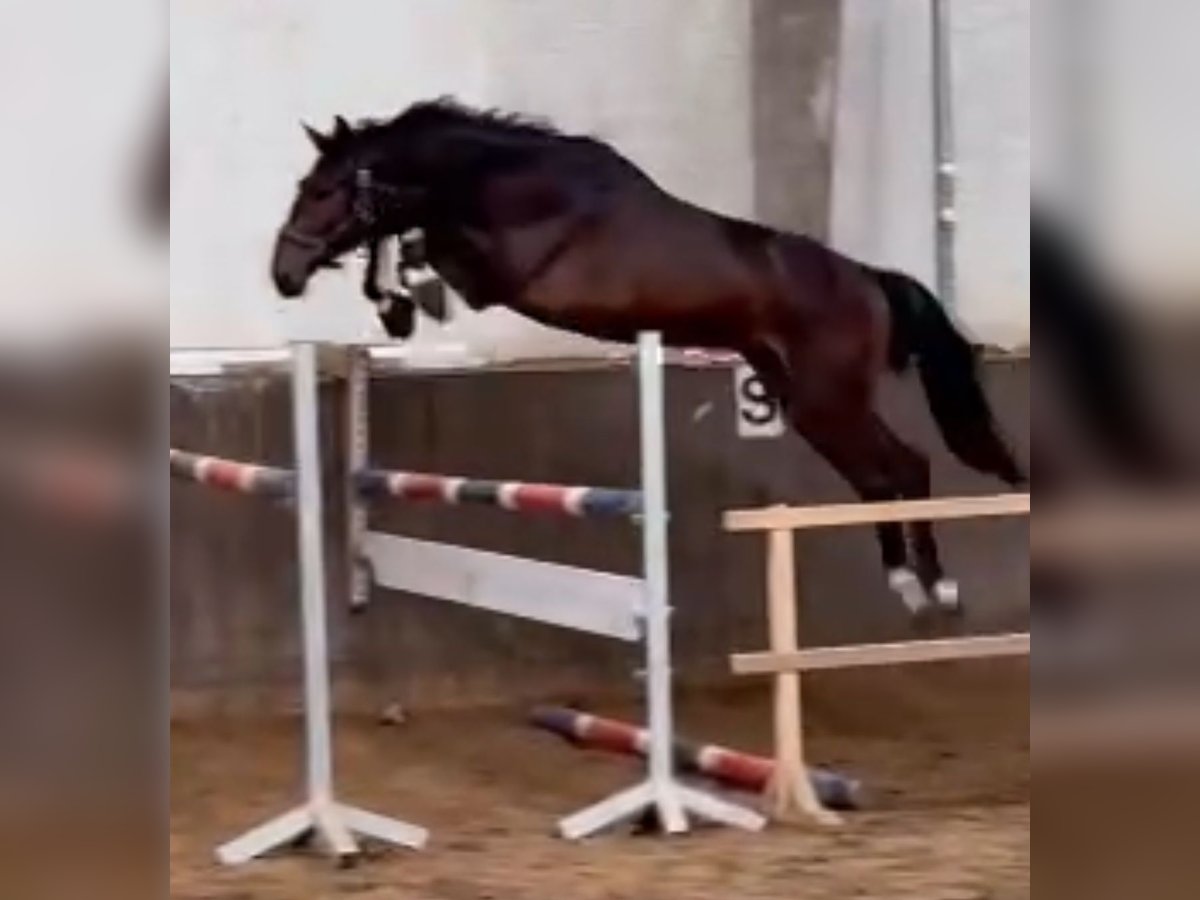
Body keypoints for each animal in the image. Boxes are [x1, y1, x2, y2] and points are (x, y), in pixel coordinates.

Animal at [272, 100, 1022, 619]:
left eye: (323, 191)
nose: (283, 273)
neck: (512, 180)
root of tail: (869, 280)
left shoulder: (504, 274)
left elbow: (430, 245)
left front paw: (404, 298)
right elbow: (412, 235)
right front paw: (395, 299)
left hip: (826, 397)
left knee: (904, 465)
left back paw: (935, 587)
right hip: (806, 400)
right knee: (880, 474)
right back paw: (911, 585)